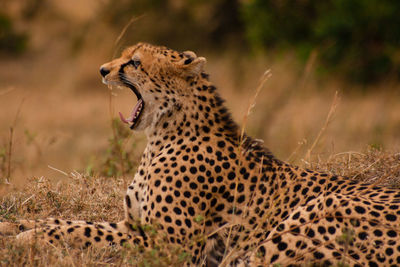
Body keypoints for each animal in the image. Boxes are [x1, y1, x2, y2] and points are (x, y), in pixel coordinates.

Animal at [2, 43, 400, 266]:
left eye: (134, 62)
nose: (102, 70)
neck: (164, 133)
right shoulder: (135, 225)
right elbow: (68, 222)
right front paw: (16, 228)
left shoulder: (170, 245)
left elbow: (84, 232)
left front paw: (27, 240)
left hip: (317, 211)